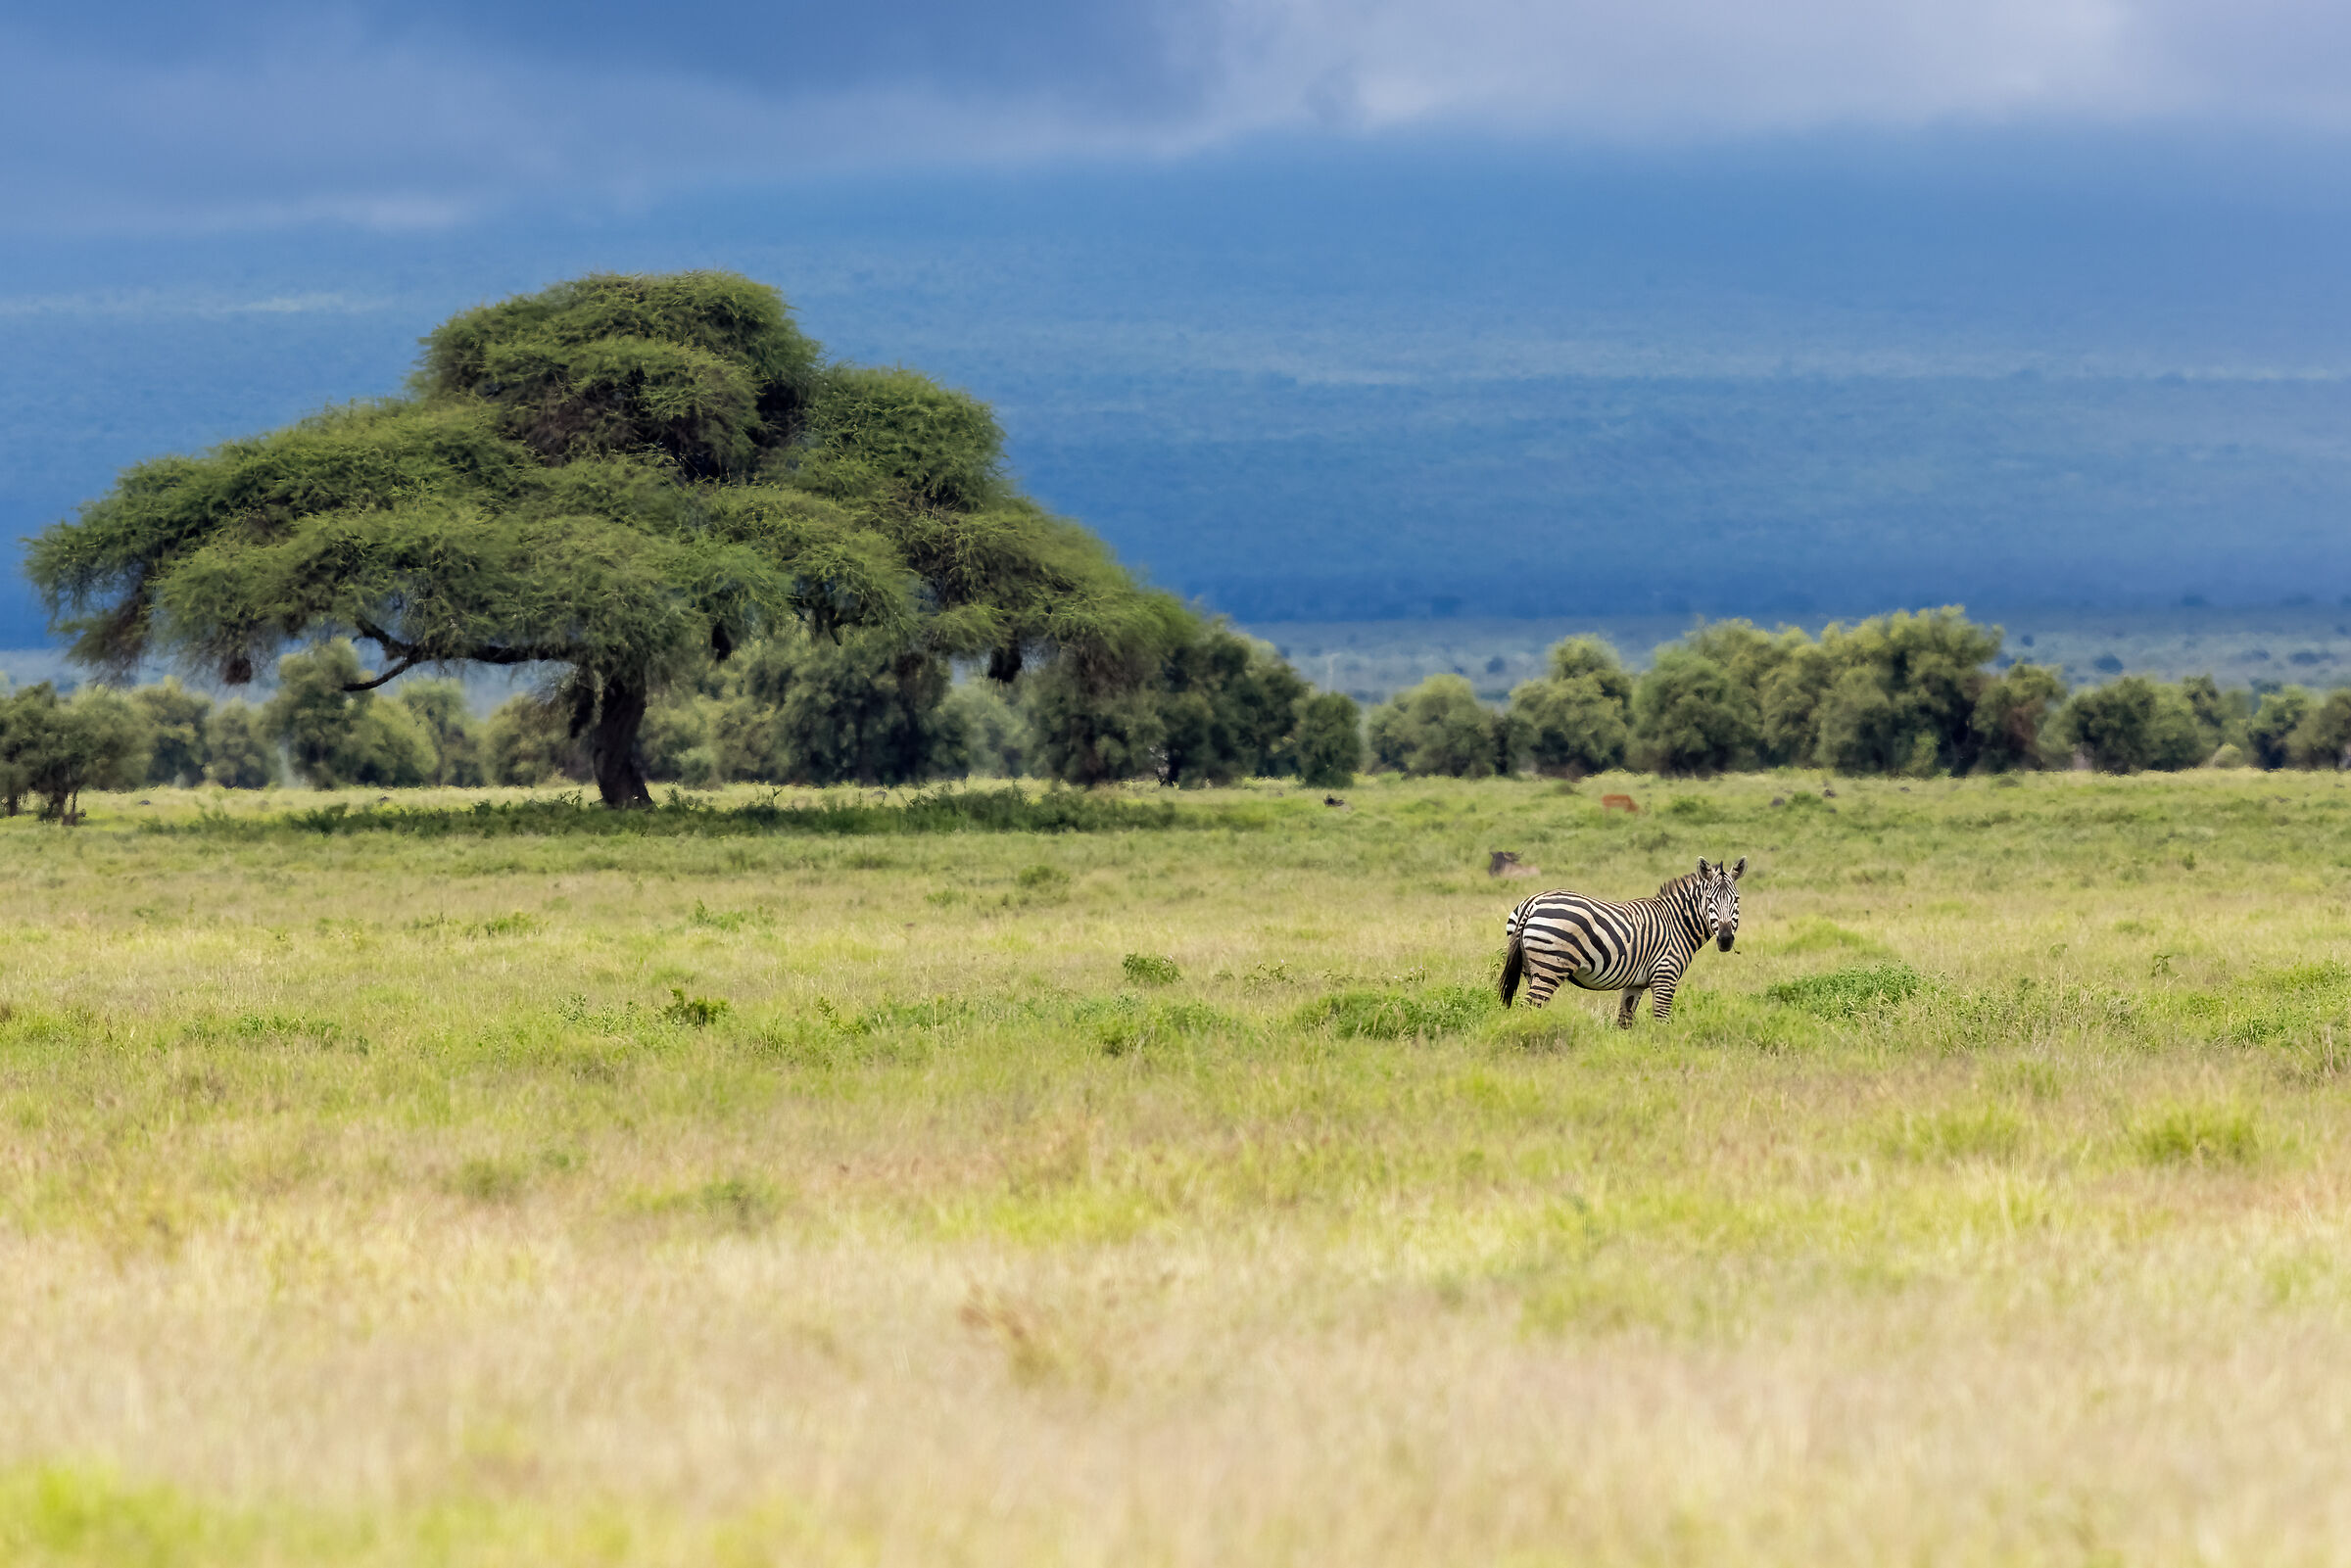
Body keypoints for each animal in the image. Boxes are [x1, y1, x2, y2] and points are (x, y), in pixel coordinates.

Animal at [1499, 857, 1746, 1027]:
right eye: (1710, 900)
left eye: (1736, 899)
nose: (1725, 940)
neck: (1677, 922)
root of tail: (1533, 902)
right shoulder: (1665, 975)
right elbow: (1662, 1021)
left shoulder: (1635, 983)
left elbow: (1624, 1021)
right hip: (1551, 966)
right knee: (1530, 1007)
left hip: (1531, 969)